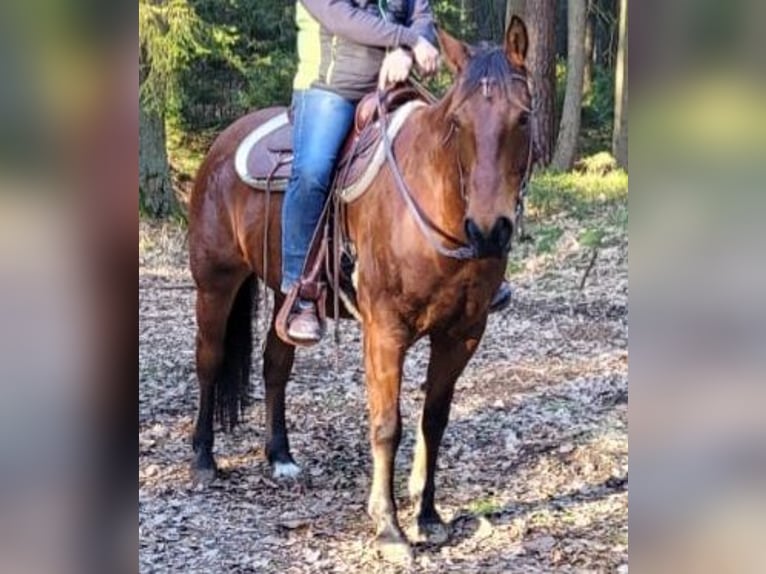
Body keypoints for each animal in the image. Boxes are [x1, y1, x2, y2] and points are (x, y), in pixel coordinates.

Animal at [188, 18, 534, 562]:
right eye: (457, 123)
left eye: (522, 117)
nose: (488, 230)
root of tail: (222, 143)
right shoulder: (385, 332)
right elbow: (387, 424)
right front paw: (389, 527)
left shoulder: (462, 333)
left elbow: (434, 419)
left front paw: (429, 517)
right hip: (215, 284)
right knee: (209, 361)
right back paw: (203, 459)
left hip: (286, 297)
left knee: (275, 364)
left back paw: (281, 457)